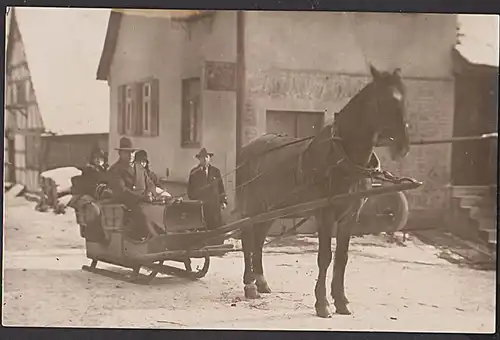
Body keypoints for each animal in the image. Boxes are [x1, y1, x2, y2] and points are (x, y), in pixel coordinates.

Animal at [234, 65, 410, 318]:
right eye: (383, 100)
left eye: (404, 99)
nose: (403, 146)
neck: (343, 157)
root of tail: (247, 149)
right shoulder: (325, 215)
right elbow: (325, 257)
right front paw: (322, 303)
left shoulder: (350, 216)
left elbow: (342, 258)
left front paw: (341, 301)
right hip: (253, 206)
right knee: (248, 238)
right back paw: (249, 284)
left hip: (272, 209)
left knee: (258, 239)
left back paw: (261, 282)